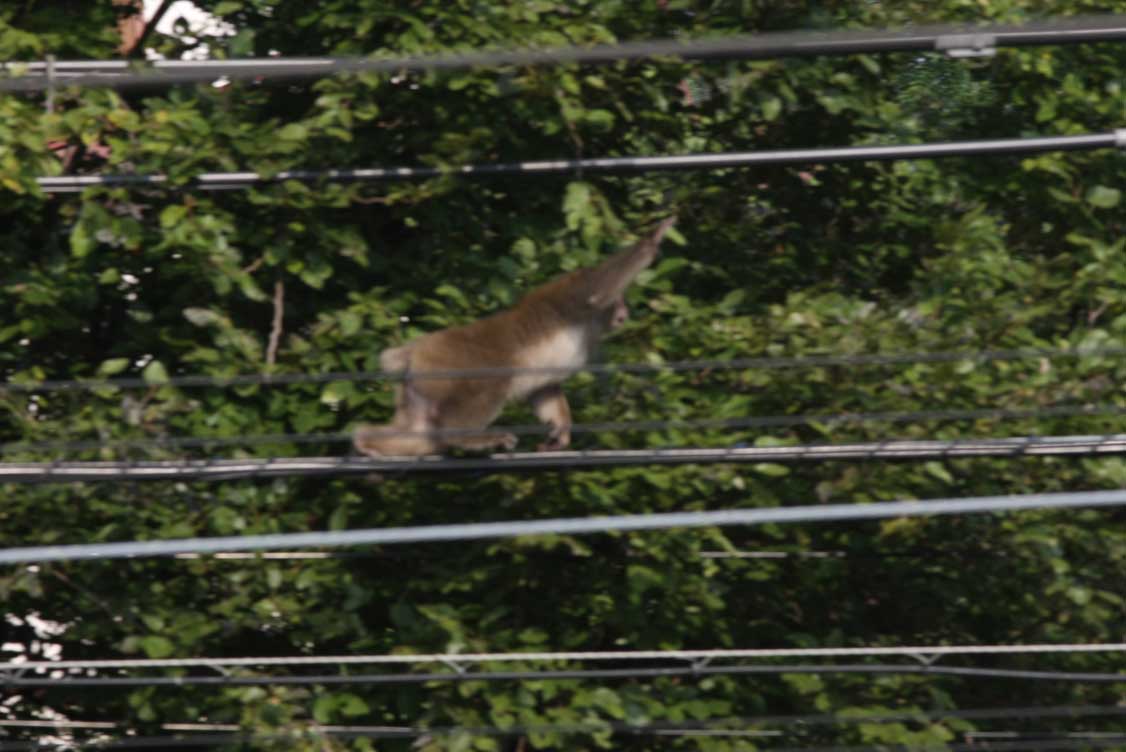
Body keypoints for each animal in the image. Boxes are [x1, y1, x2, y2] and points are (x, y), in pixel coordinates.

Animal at [355, 213, 675, 454]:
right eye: (619, 300)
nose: (625, 310)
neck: (592, 326)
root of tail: (417, 347)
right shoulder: (573, 289)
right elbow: (598, 289)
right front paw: (653, 238)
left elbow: (543, 389)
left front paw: (560, 432)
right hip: (448, 361)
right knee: (493, 381)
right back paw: (463, 437)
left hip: (422, 380)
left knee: (421, 431)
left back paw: (367, 443)